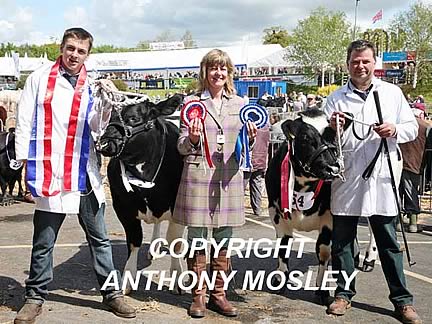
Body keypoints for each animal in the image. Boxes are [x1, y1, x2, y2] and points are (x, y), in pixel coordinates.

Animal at [97, 93, 185, 294]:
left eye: (133, 118)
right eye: (109, 116)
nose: (104, 143)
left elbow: (175, 241)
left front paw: (177, 278)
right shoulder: (122, 207)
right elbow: (134, 241)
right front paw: (127, 281)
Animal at [264, 109, 376, 304]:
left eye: (333, 137)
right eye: (305, 138)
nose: (333, 169)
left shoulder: (329, 220)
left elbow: (323, 251)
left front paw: (322, 289)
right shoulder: (276, 213)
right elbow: (283, 247)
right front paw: (280, 280)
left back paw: (368, 259)